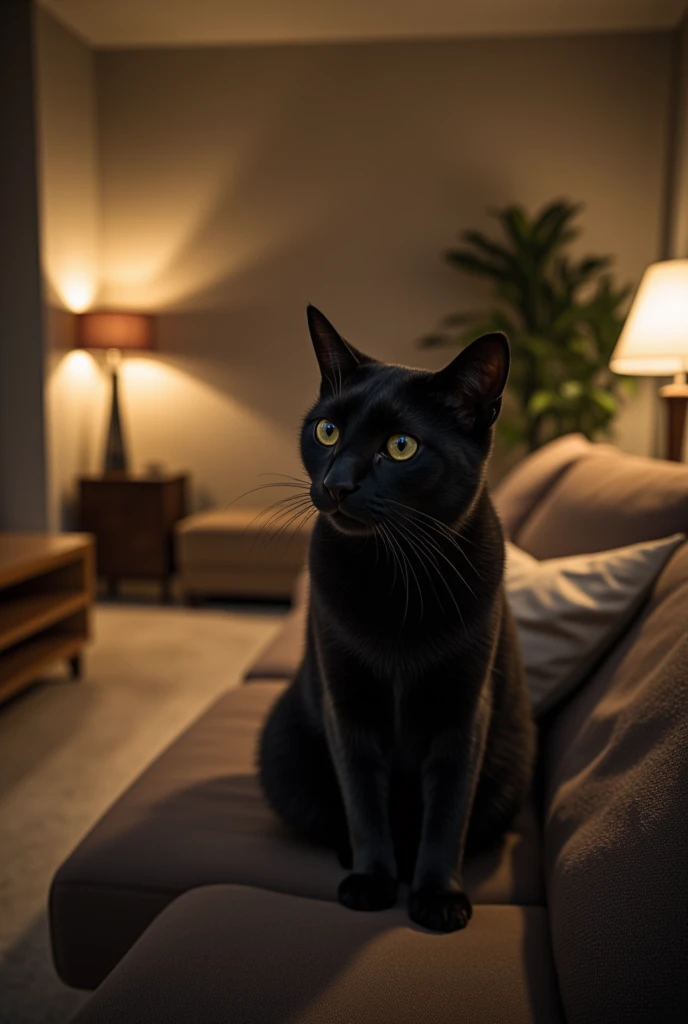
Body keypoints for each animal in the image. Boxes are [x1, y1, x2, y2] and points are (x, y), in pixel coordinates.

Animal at [256, 305, 532, 937]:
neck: (394, 579)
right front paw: (372, 881)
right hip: (283, 751)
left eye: (401, 446)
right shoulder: (347, 704)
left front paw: (438, 897)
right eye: (327, 432)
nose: (336, 484)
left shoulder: (464, 711)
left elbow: (448, 811)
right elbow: (363, 801)